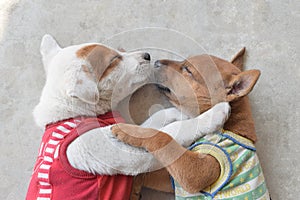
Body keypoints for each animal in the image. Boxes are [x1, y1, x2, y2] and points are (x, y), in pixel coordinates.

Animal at [27, 35, 230, 199]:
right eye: (114, 59)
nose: (147, 55)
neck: (75, 114)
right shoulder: (130, 155)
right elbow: (166, 134)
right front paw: (213, 114)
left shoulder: (122, 130)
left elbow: (150, 124)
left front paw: (180, 113)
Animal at [111, 48, 270, 200]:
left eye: (188, 70)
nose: (156, 62)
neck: (231, 126)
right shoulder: (171, 178)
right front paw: (134, 189)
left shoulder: (196, 173)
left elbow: (162, 136)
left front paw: (127, 130)